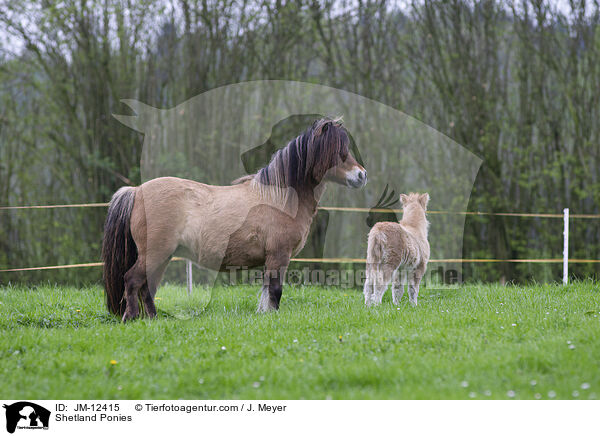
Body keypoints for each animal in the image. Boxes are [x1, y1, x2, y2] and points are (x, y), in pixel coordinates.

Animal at [102, 117, 366, 322]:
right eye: (339, 151)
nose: (362, 175)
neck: (280, 198)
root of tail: (136, 191)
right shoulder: (279, 255)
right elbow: (275, 291)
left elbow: (267, 290)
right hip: (155, 253)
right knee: (133, 281)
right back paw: (131, 318)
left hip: (162, 256)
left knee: (147, 286)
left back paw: (153, 319)